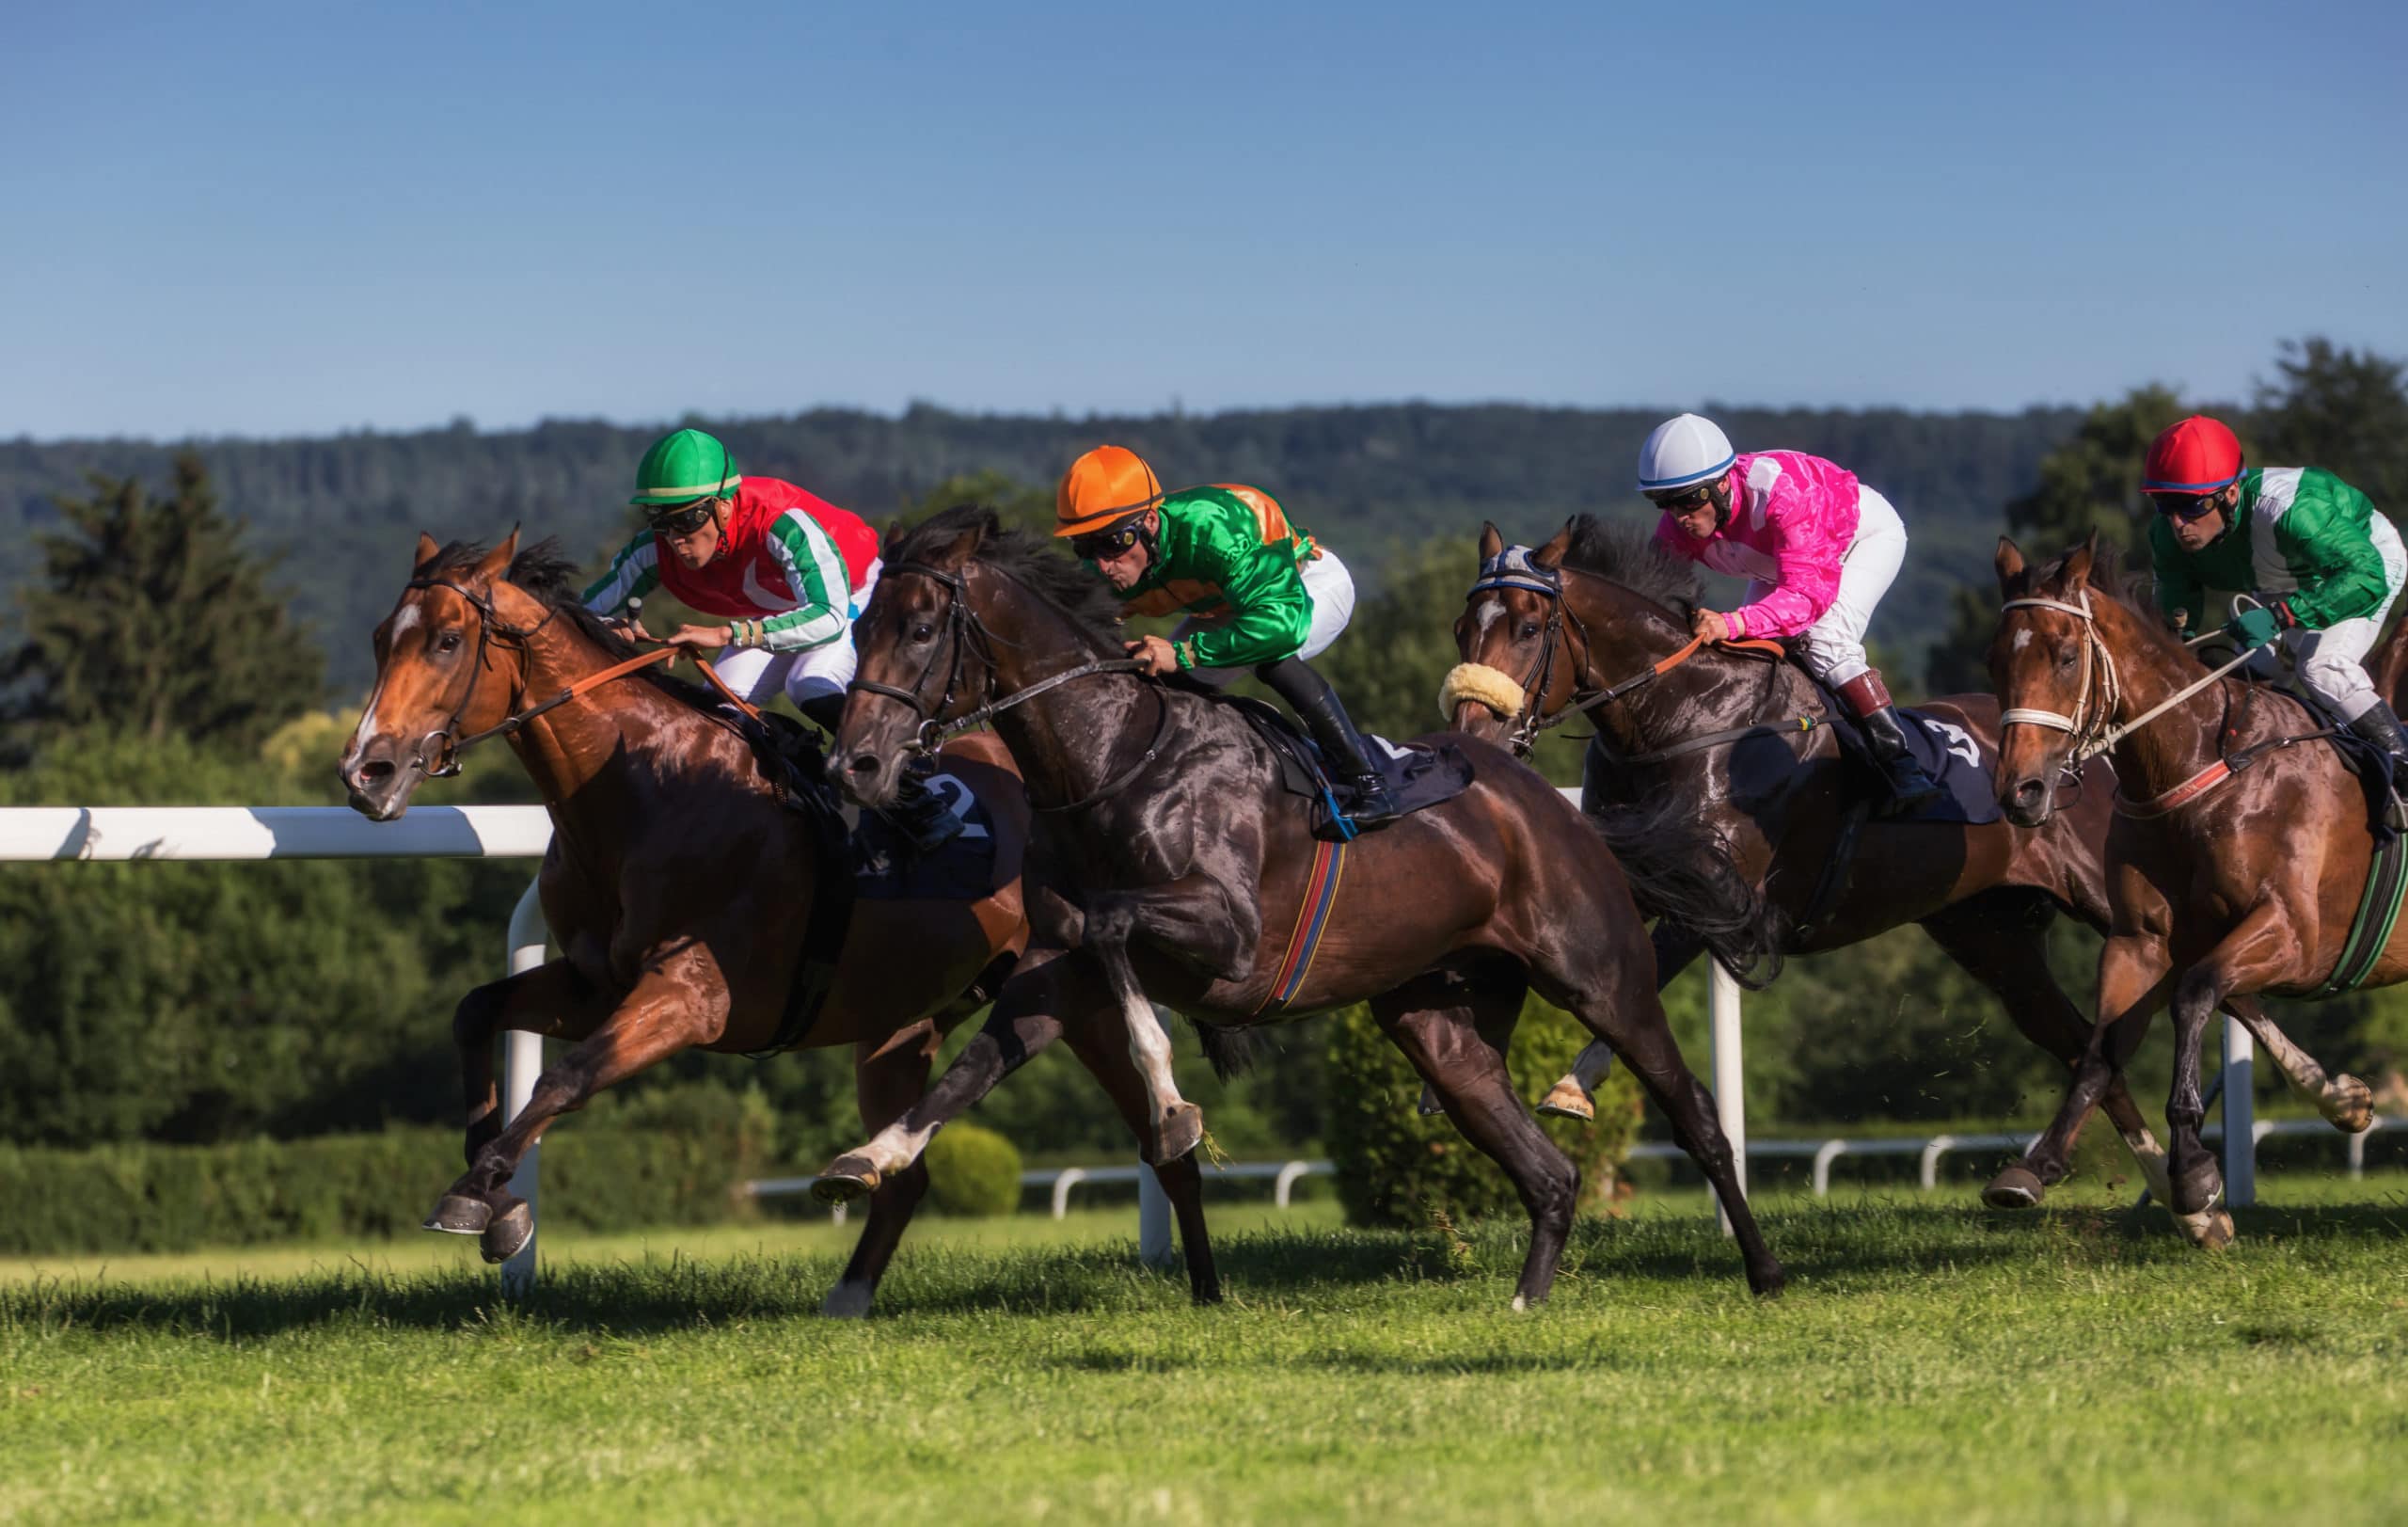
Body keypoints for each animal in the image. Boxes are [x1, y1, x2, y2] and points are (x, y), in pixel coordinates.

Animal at [339, 532, 1064, 1310]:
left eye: (447, 640)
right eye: (380, 638)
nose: (365, 771)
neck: (645, 786)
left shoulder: (694, 997)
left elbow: (565, 1077)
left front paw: (476, 1191)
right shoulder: (595, 982)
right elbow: (475, 1013)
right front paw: (498, 1203)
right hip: (900, 1023)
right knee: (906, 1177)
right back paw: (847, 1292)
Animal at [828, 505, 1791, 1300]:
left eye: (921, 628)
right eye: (861, 626)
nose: (855, 764)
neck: (1113, 760)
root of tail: (1561, 808)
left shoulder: (1230, 938)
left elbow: (1115, 931)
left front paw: (1173, 1108)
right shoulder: (1053, 970)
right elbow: (973, 1066)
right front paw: (872, 1153)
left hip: (1601, 975)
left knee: (1695, 1114)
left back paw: (1765, 1269)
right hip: (1435, 1022)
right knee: (1547, 1170)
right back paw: (1526, 1300)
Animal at [1434, 517, 2359, 1209]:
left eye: (1528, 627)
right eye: (1462, 627)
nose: (1477, 739)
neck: (1688, 719)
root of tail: (2092, 746)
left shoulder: (1727, 898)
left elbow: (1640, 973)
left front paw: (1567, 1086)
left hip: (2106, 897)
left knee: (2215, 986)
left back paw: (2329, 1097)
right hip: (1990, 936)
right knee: (2084, 1037)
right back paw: (2159, 1184)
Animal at [1993, 534, 2388, 1233]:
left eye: (2066, 656)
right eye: (1995, 660)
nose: (2022, 792)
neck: (2200, 764)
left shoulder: (2294, 934)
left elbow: (2197, 992)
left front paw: (2195, 1172)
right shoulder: (2140, 941)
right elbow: (2099, 1050)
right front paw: (2035, 1166)